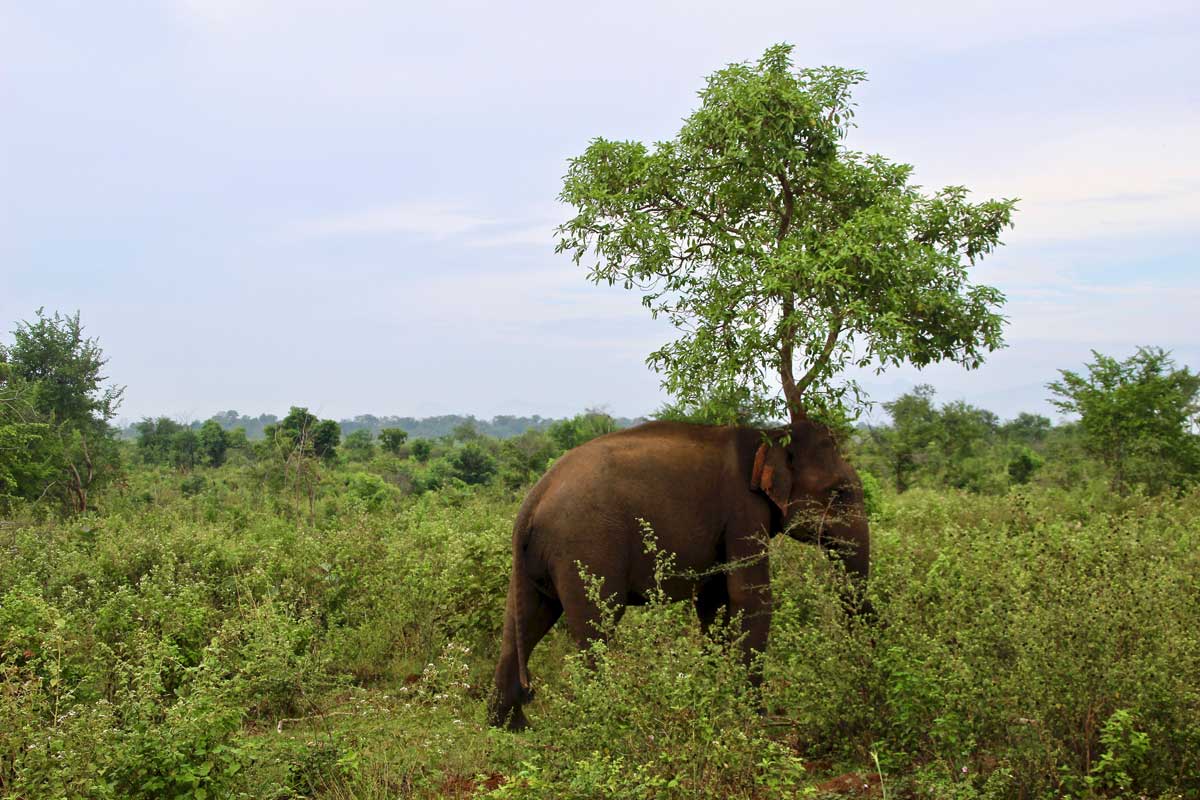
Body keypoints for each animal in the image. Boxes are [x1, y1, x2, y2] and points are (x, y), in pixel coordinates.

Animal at [487, 419, 873, 734]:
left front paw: (718, 701)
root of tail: (532, 501)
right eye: (839, 492)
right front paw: (757, 722)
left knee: (524, 621)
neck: (770, 435)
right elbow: (751, 597)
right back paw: (601, 718)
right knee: (596, 625)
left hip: (535, 561)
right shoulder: (744, 511)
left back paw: (511, 728)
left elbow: (714, 603)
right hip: (586, 547)